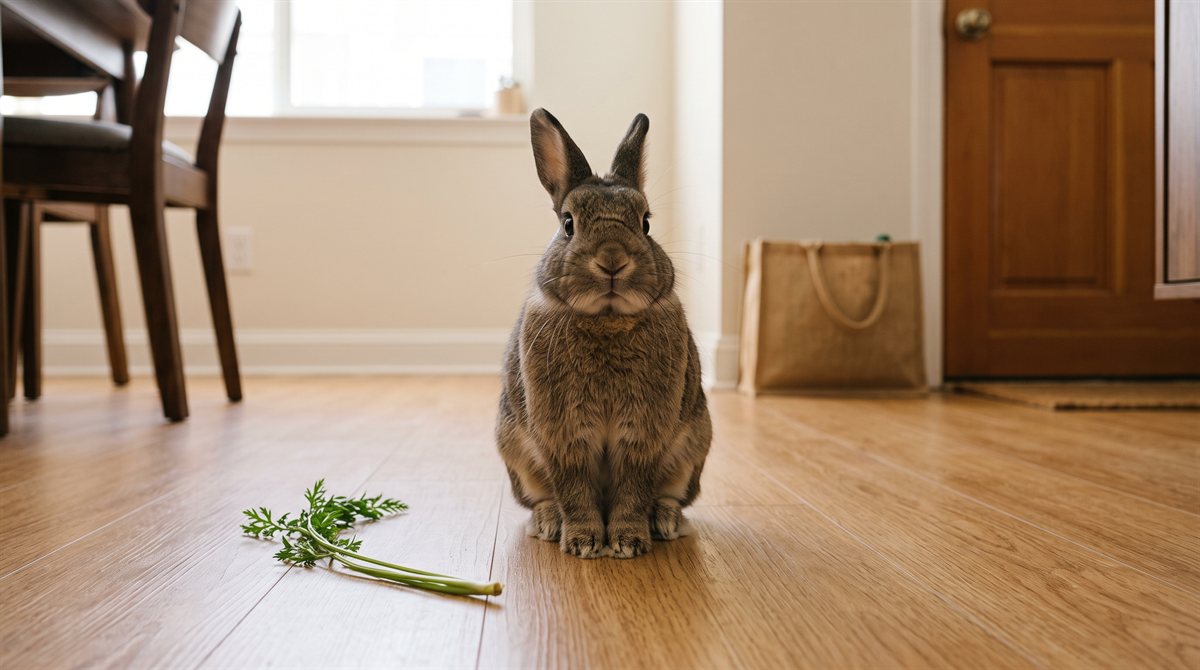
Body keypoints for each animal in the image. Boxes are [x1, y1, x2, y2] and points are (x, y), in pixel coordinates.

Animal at [496, 109, 712, 559]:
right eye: (568, 223)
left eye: (645, 223)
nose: (613, 260)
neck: (607, 320)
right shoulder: (563, 437)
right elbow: (574, 489)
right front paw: (583, 543)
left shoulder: (643, 435)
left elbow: (633, 487)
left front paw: (628, 541)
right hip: (517, 456)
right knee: (542, 498)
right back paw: (548, 522)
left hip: (691, 452)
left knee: (670, 495)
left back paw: (665, 521)